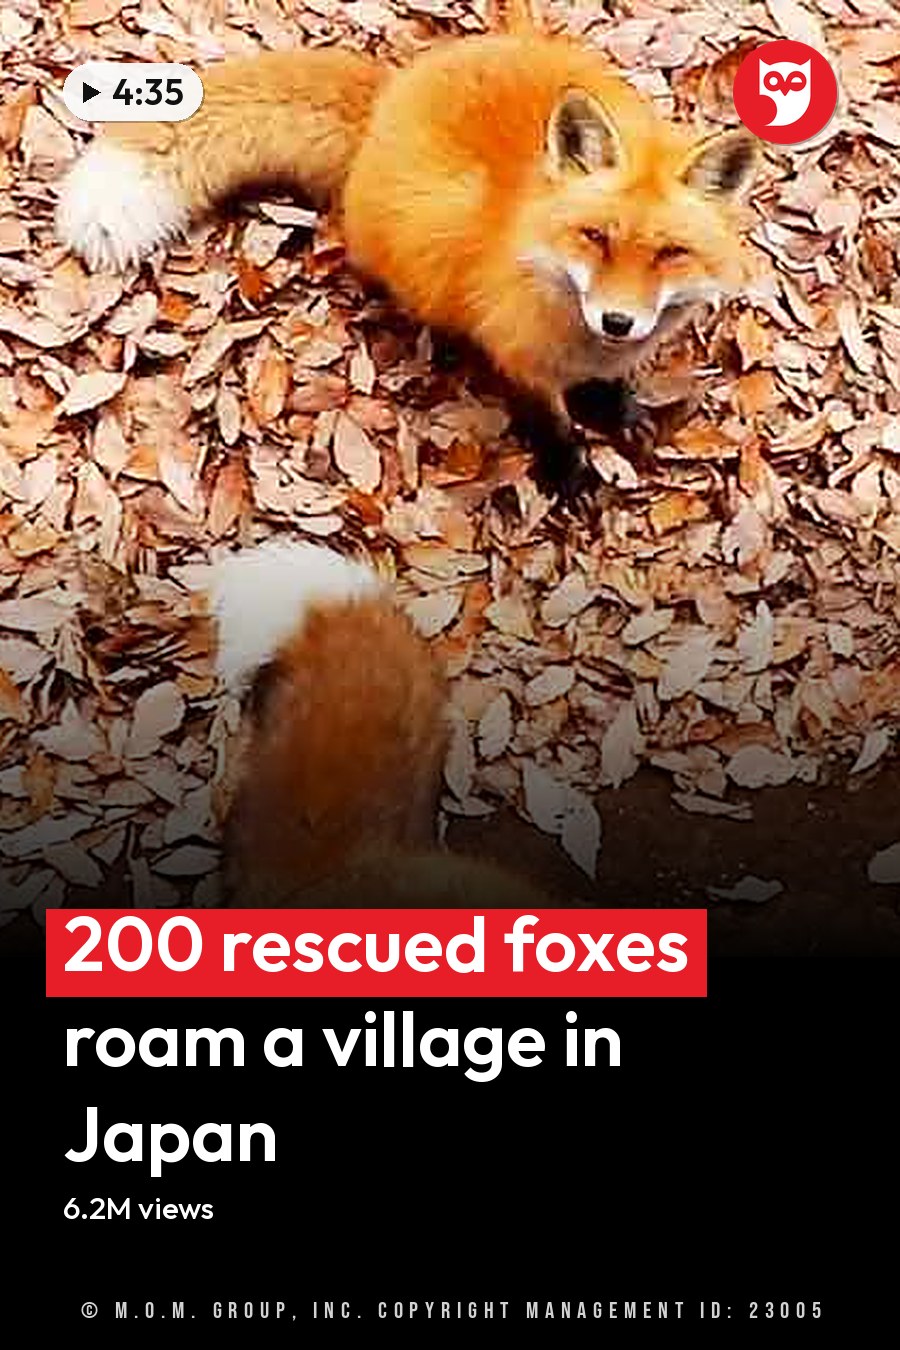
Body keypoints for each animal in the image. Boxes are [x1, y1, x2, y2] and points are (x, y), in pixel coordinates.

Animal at [56, 1, 758, 497]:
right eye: (596, 237)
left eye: (670, 254)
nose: (618, 321)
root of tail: (392, 92)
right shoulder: (515, 355)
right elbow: (547, 418)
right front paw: (568, 468)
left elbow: (607, 386)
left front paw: (617, 409)